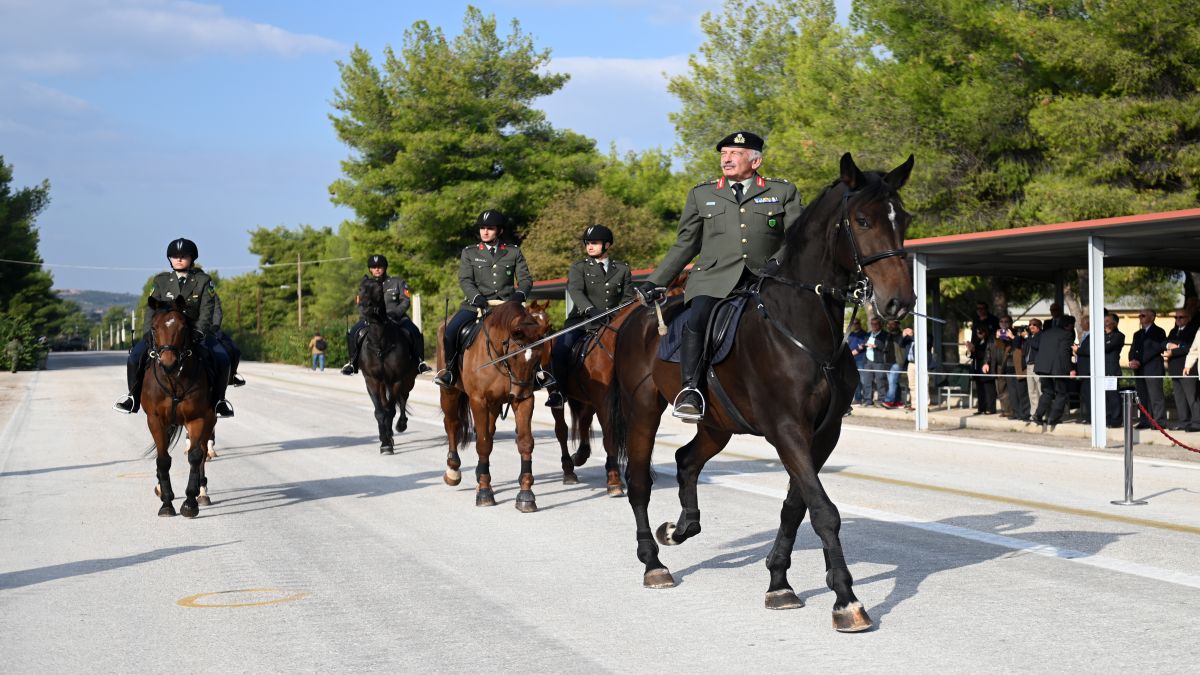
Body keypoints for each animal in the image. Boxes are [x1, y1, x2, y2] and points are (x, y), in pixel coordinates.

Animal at [142, 293, 216, 514]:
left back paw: (202, 492)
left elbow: (195, 456)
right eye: (154, 327)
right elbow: (163, 459)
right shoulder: (155, 420)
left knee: (202, 452)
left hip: (210, 420)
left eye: (183, 327)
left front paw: (190, 502)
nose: (169, 363)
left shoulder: (198, 418)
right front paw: (167, 502)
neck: (173, 379)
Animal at [352, 276, 420, 454]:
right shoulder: (372, 380)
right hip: (383, 383)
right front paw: (384, 441)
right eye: (360, 289)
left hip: (408, 380)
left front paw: (388, 441)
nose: (365, 308)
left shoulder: (397, 380)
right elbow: (380, 412)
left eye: (378, 289)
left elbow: (391, 410)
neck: (380, 343)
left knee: (403, 399)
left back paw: (401, 425)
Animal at [439, 299, 549, 509]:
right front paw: (484, 492)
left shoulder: (523, 400)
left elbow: (525, 442)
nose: (520, 392)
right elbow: (483, 444)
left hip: (494, 404)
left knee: (488, 431)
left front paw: (526, 494)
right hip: (449, 392)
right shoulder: (478, 400)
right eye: (514, 355)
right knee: (452, 424)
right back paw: (453, 471)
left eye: (537, 356)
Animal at [609, 153, 916, 629]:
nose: (899, 302)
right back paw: (654, 562)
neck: (803, 326)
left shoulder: (823, 434)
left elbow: (796, 506)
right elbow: (824, 510)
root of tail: (635, 316)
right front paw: (846, 600)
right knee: (639, 481)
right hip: (642, 408)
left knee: (686, 461)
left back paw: (681, 528)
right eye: (863, 220)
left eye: (904, 218)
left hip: (718, 424)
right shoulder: (786, 429)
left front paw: (779, 583)